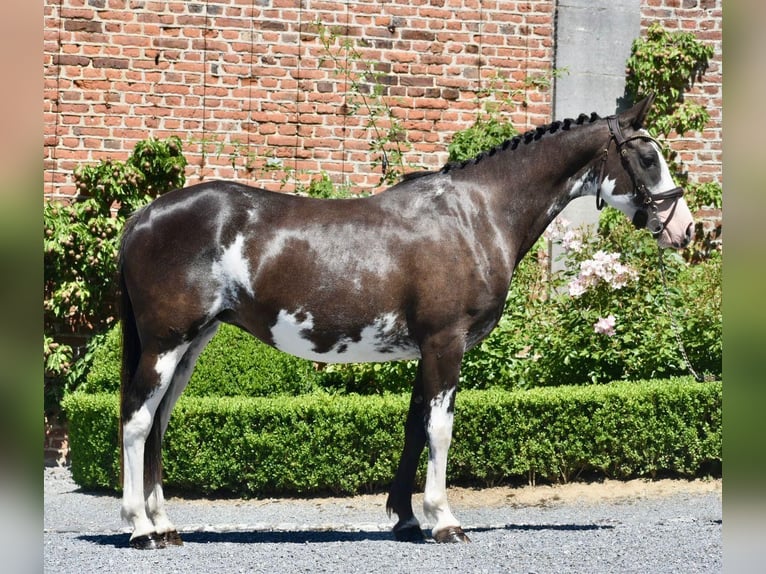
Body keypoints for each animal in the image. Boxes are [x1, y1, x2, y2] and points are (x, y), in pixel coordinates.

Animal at [117, 95, 694, 548]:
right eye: (648, 157)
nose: (685, 230)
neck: (475, 214)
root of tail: (143, 215)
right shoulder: (445, 342)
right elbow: (440, 429)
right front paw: (444, 521)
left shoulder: (426, 350)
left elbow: (415, 427)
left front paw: (408, 519)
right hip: (165, 342)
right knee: (137, 421)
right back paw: (141, 529)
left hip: (191, 343)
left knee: (159, 423)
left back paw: (164, 524)